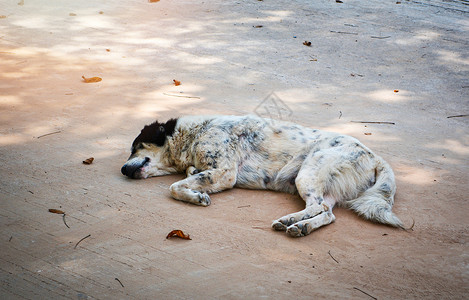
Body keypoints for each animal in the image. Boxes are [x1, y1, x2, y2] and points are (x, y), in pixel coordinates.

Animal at [121, 115, 406, 237]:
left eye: (135, 147)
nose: (123, 169)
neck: (194, 133)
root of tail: (374, 156)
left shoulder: (225, 173)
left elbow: (174, 187)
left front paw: (197, 196)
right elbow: (190, 175)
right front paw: (195, 184)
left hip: (308, 172)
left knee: (320, 207)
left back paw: (293, 222)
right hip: (322, 185)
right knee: (328, 213)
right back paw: (299, 225)